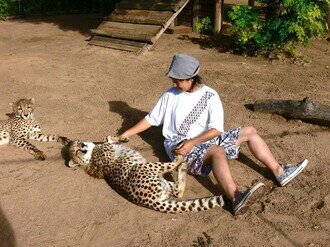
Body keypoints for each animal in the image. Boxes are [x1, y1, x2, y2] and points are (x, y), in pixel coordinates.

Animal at [68, 136, 226, 213]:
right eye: (76, 151)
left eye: (78, 144)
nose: (82, 146)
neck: (90, 157)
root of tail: (148, 201)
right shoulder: (107, 153)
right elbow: (106, 143)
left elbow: (107, 139)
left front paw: (120, 138)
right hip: (142, 167)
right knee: (173, 168)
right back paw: (180, 157)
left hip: (163, 183)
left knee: (178, 191)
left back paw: (183, 165)